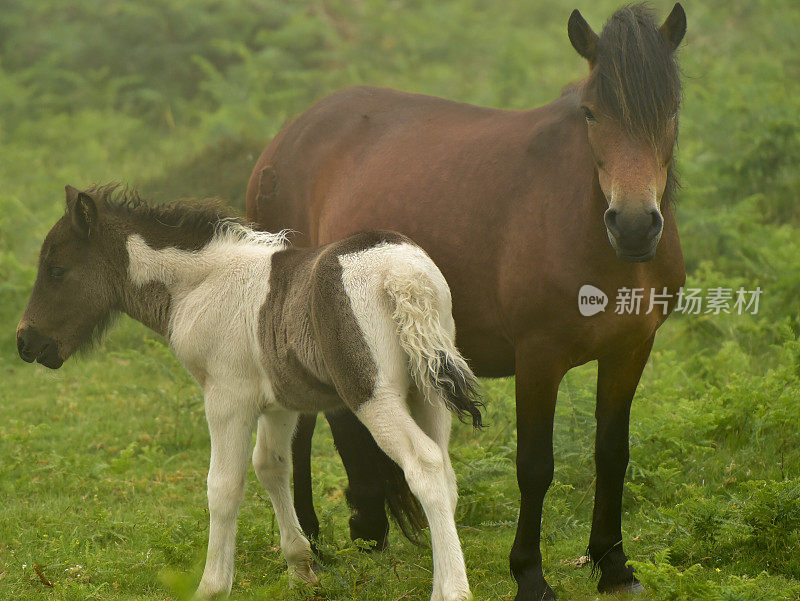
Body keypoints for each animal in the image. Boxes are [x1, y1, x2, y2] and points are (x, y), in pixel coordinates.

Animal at [17, 185, 482, 596]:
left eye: (56, 271)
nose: (25, 342)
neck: (198, 286)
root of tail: (404, 275)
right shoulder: (281, 404)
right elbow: (271, 466)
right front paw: (301, 571)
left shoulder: (227, 398)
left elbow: (223, 487)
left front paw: (211, 586)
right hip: (429, 394)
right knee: (445, 470)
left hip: (371, 395)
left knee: (423, 464)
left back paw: (453, 591)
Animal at [245, 3, 688, 596]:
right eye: (591, 113)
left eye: (670, 111)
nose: (635, 226)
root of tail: (288, 135)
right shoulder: (539, 358)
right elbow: (535, 465)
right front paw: (529, 573)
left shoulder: (630, 351)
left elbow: (612, 454)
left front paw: (614, 565)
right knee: (302, 430)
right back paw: (313, 542)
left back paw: (366, 528)